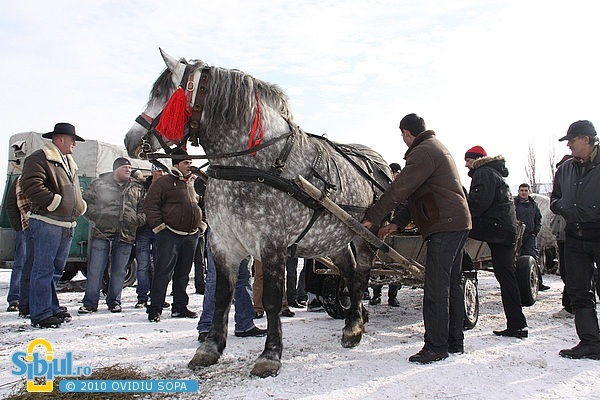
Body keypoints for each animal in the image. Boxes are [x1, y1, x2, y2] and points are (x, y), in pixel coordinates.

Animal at [124, 48, 392, 376]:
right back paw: (355, 318)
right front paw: (210, 349)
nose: (130, 140)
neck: (257, 164)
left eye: (163, 93)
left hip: (366, 235)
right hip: (333, 237)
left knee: (361, 276)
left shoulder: (272, 244)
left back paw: (354, 327)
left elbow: (273, 299)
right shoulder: (222, 244)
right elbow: (222, 296)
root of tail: (378, 162)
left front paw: (270, 355)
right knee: (349, 272)